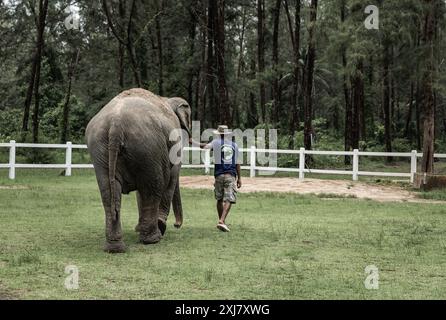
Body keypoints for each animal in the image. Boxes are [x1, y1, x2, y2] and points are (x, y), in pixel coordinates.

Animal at [86, 87, 192, 252]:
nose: (177, 225)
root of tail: (115, 124)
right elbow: (171, 179)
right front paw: (160, 225)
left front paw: (139, 228)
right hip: (148, 147)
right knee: (153, 187)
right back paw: (153, 238)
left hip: (100, 149)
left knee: (109, 192)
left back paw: (115, 248)